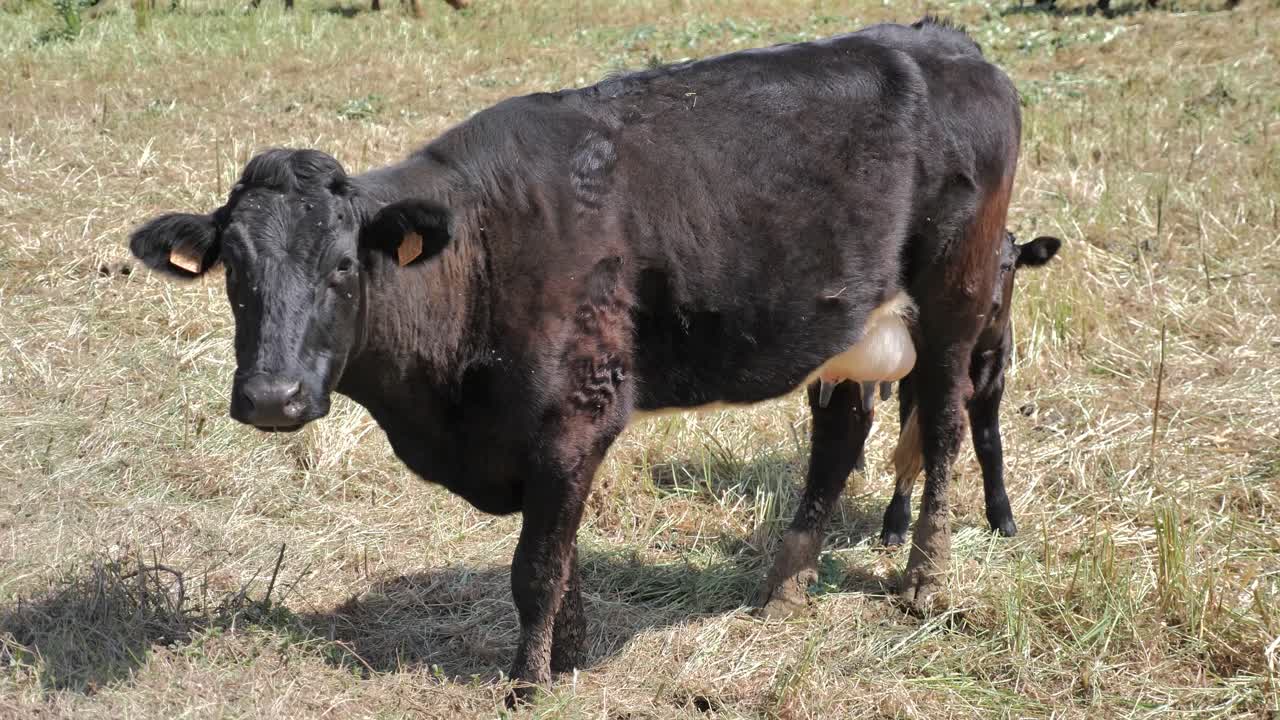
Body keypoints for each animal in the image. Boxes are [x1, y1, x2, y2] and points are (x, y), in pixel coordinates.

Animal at [127, 17, 1021, 698]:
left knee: (943, 428)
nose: (270, 397)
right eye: (234, 269)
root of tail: (938, 38)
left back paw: (923, 581)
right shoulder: (543, 435)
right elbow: (562, 554)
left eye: (344, 265)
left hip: (959, 295)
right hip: (846, 329)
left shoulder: (574, 413)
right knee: (838, 440)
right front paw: (573, 655)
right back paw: (783, 589)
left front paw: (528, 685)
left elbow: (535, 567)